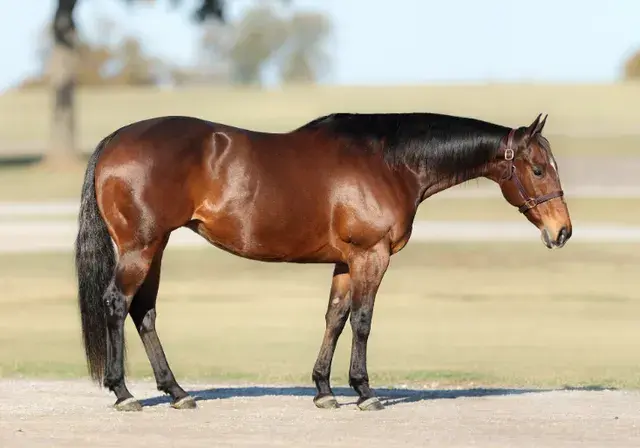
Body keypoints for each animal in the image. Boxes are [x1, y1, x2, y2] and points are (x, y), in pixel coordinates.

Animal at [74, 111, 572, 412]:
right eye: (538, 169)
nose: (562, 231)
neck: (389, 164)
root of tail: (115, 139)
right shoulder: (372, 256)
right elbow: (363, 321)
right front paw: (365, 391)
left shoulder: (347, 262)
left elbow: (335, 318)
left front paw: (324, 390)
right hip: (140, 247)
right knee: (117, 304)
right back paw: (124, 393)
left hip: (154, 247)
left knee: (144, 312)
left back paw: (176, 391)